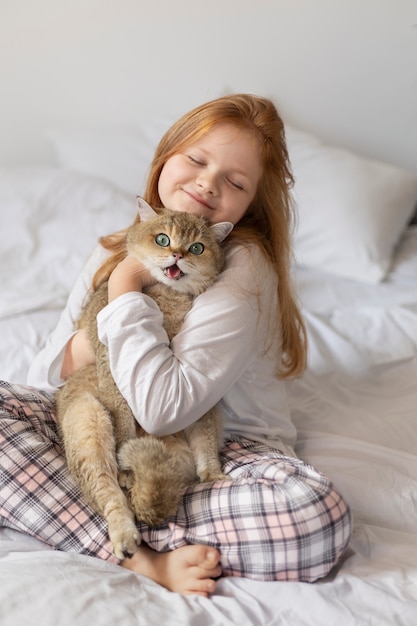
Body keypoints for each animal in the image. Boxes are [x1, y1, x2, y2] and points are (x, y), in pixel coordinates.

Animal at [54, 197, 231, 560]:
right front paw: (124, 457)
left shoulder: (194, 385)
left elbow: (205, 431)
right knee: (108, 494)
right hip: (87, 418)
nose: (177, 254)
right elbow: (122, 415)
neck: (166, 297)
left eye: (197, 247)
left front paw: (213, 470)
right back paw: (125, 533)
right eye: (163, 239)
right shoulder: (111, 364)